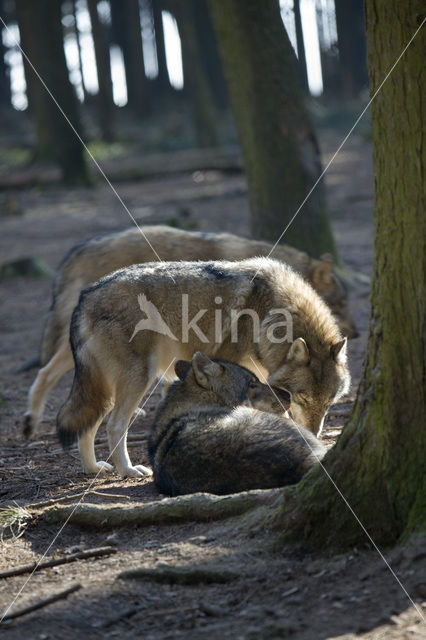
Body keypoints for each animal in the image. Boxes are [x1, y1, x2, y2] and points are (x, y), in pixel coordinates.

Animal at [55, 258, 350, 478]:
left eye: (329, 404)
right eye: (304, 399)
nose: (314, 433)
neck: (267, 313)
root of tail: (84, 298)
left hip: (105, 388)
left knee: (88, 426)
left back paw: (93, 468)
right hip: (138, 379)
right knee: (115, 425)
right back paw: (128, 470)